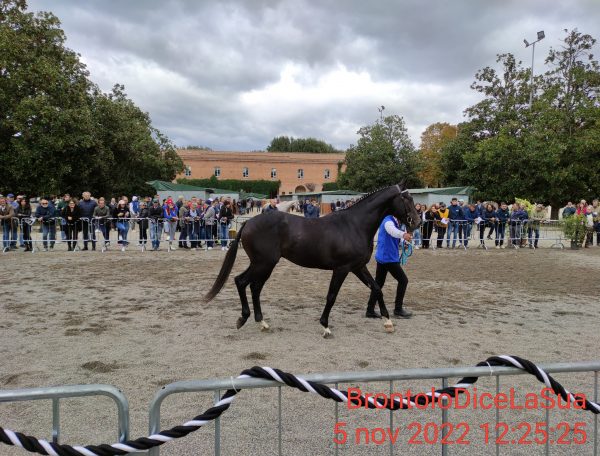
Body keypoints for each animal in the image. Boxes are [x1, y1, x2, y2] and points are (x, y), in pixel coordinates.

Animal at [204, 183, 420, 336]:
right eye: (406, 199)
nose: (418, 222)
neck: (354, 225)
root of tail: (248, 223)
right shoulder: (342, 269)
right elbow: (331, 296)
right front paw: (325, 326)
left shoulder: (358, 267)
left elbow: (376, 288)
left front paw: (388, 322)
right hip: (263, 264)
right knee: (241, 281)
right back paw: (243, 319)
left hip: (264, 265)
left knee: (254, 288)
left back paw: (262, 322)